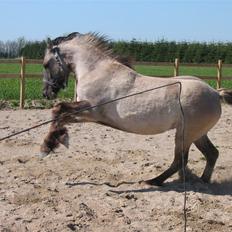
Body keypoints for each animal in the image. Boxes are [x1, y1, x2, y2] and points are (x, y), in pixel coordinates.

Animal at [40, 31, 232, 186]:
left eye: (46, 64)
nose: (46, 93)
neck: (96, 71)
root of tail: (215, 93)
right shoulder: (88, 115)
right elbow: (59, 113)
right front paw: (56, 140)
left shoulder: (90, 111)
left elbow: (58, 110)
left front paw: (48, 146)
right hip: (197, 134)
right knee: (212, 154)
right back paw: (202, 181)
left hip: (185, 134)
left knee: (181, 160)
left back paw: (153, 181)